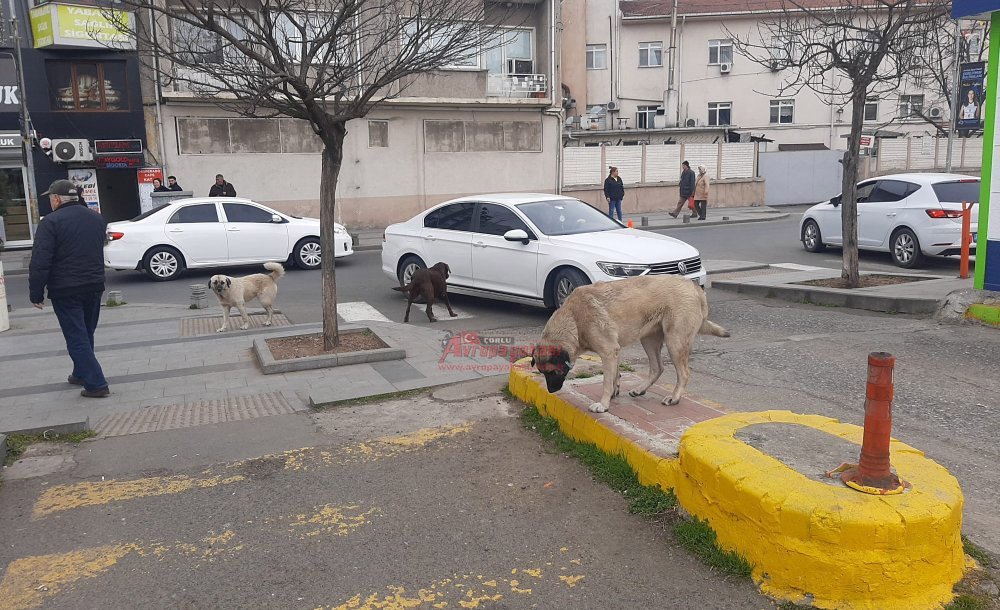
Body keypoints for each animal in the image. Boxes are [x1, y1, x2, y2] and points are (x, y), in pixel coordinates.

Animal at [532, 274, 728, 410]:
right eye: (543, 373)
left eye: (553, 372)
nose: (551, 392)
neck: (574, 318)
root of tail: (694, 287)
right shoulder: (614, 351)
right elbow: (614, 377)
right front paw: (613, 395)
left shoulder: (608, 352)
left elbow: (606, 381)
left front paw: (603, 405)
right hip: (648, 340)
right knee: (658, 367)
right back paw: (640, 389)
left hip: (675, 342)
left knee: (684, 373)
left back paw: (674, 398)